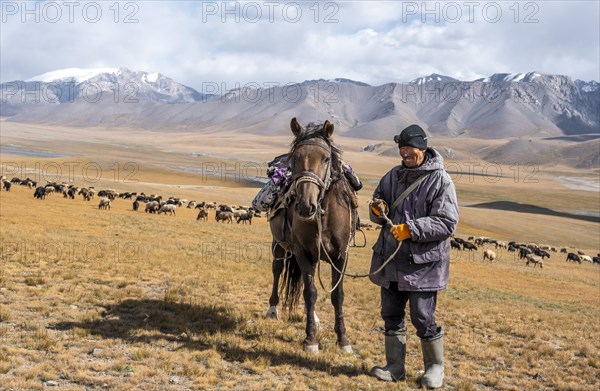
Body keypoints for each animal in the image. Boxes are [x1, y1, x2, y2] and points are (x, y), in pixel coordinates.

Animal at [264, 117, 354, 356]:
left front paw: (343, 340)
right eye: (295, 158)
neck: (323, 215)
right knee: (277, 270)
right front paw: (310, 340)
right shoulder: (302, 252)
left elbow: (337, 295)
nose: (306, 206)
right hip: (279, 245)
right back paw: (272, 309)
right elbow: (311, 293)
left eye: (326, 159)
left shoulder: (341, 256)